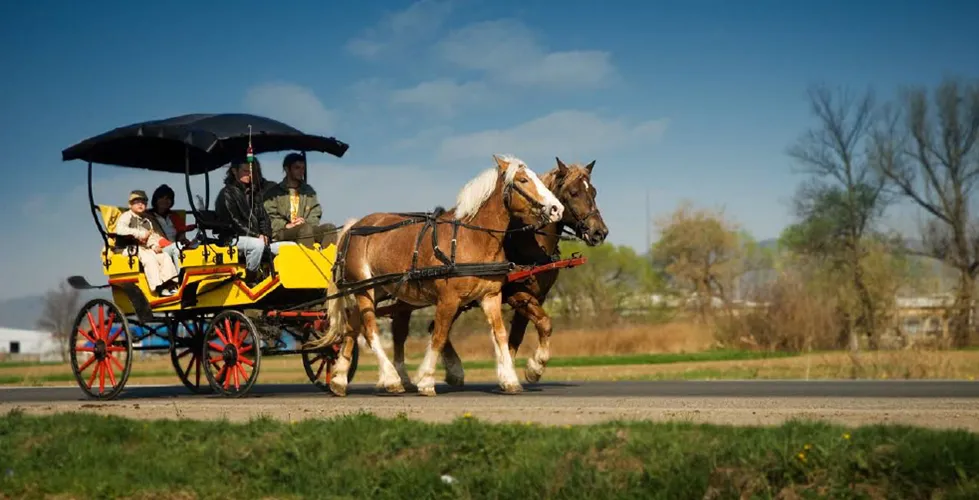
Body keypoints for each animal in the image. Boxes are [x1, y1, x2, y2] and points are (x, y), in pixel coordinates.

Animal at [314, 154, 560, 396]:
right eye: (523, 180)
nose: (557, 208)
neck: (471, 238)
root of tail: (353, 226)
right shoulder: (448, 300)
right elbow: (439, 336)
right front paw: (426, 380)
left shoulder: (491, 296)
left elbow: (499, 334)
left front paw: (509, 379)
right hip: (364, 288)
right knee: (370, 329)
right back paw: (391, 379)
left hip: (376, 289)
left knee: (352, 325)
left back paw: (339, 379)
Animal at [388, 156, 604, 386]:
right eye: (573, 192)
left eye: (593, 192)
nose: (600, 232)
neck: (528, 241)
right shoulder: (516, 294)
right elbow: (544, 323)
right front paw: (534, 367)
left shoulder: (536, 296)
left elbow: (519, 335)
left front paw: (513, 371)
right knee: (403, 330)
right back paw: (404, 376)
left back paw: (451, 371)